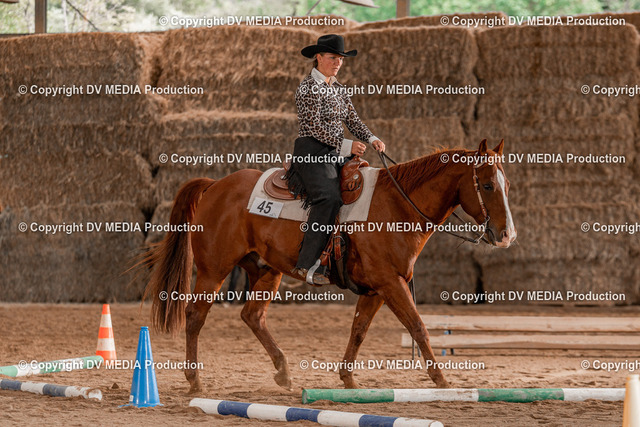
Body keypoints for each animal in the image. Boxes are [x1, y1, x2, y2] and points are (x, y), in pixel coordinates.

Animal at [141, 138, 516, 394]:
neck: (396, 205)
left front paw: (348, 378)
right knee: (195, 316)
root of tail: (215, 185)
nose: (507, 235)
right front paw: (441, 379)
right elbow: (418, 327)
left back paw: (283, 372)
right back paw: (195, 379)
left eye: (507, 185)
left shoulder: (376, 289)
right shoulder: (390, 283)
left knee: (253, 316)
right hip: (213, 270)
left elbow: (358, 329)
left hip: (266, 270)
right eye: (486, 184)